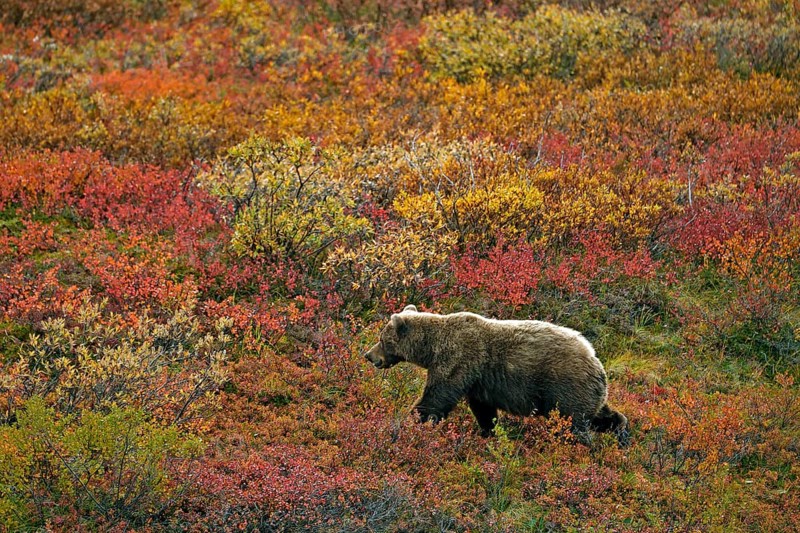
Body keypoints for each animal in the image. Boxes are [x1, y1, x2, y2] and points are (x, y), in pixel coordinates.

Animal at [364, 305, 629, 445]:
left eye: (382, 339)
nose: (368, 355)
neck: (432, 348)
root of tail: (595, 360)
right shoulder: (478, 380)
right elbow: (482, 408)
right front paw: (488, 432)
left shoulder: (459, 359)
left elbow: (436, 397)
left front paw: (405, 423)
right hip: (584, 392)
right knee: (599, 414)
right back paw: (621, 432)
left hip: (564, 387)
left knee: (574, 423)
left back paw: (583, 446)